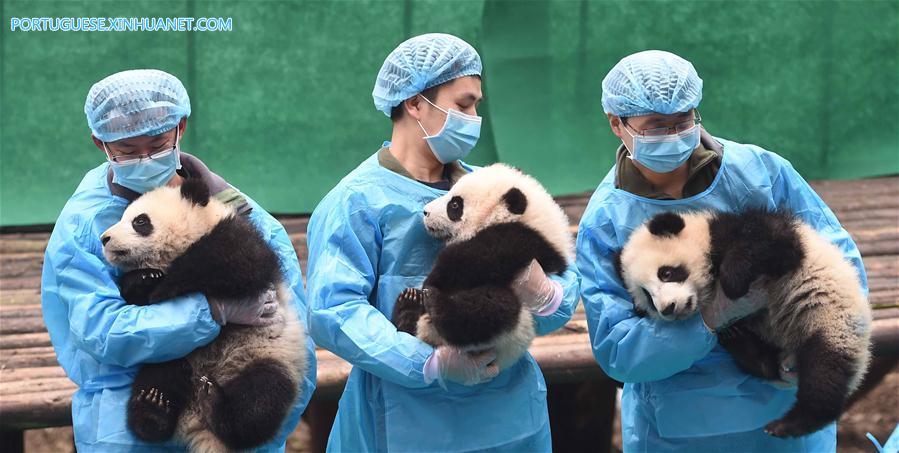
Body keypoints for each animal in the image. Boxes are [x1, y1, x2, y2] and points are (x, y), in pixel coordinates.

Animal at [100, 178, 308, 453]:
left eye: (140, 221)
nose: (104, 238)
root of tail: (197, 420)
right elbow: (136, 300)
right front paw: (145, 278)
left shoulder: (239, 239)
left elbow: (235, 263)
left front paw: (165, 285)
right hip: (172, 356)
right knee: (158, 378)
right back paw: (154, 408)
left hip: (271, 354)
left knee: (262, 398)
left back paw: (217, 406)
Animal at [391, 164, 574, 372]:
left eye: (455, 205)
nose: (425, 212)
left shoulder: (520, 238)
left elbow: (469, 260)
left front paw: (432, 280)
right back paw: (408, 303)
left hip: (513, 321)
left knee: (489, 309)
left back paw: (436, 303)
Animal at [615, 208, 872, 438]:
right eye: (648, 296)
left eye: (666, 273)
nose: (668, 308)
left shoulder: (747, 232)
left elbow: (769, 245)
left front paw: (732, 282)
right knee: (765, 365)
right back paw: (739, 341)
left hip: (829, 320)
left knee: (824, 372)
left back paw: (790, 424)